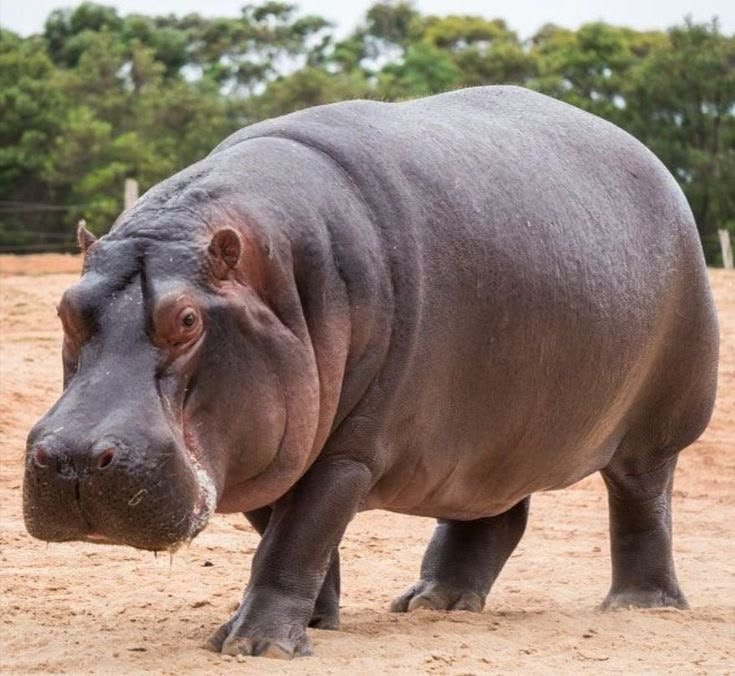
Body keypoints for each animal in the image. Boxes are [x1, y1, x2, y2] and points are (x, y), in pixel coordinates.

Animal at [24, 86, 718, 659]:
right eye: (65, 308)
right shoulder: (275, 443)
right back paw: (433, 602)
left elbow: (297, 537)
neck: (275, 282)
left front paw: (255, 646)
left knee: (641, 503)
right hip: (491, 436)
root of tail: (655, 163)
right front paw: (318, 621)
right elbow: (290, 535)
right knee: (492, 515)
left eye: (188, 320)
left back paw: (639, 607)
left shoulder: (349, 449)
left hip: (657, 427)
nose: (75, 458)